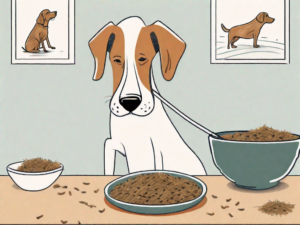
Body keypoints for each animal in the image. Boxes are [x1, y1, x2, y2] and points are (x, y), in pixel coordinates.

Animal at [88, 17, 206, 176]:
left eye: (143, 58)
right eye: (116, 60)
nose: (130, 102)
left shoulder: (143, 154)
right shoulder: (117, 144)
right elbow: (108, 153)